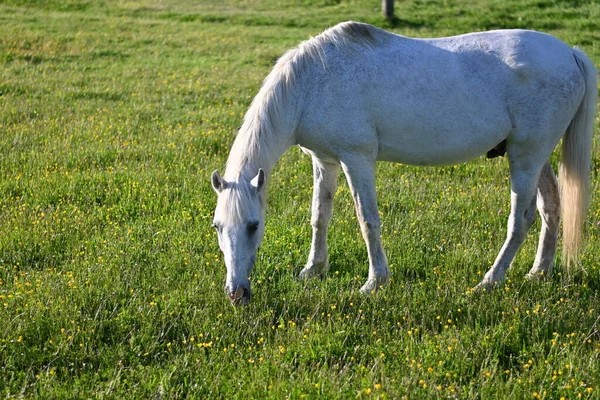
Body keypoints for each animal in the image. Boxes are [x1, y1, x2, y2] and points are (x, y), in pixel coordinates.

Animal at [210, 21, 596, 306]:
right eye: (217, 226)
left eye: (253, 225)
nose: (237, 293)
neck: (313, 82)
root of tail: (571, 53)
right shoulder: (325, 161)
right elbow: (320, 216)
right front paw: (313, 270)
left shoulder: (357, 159)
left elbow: (367, 220)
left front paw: (375, 282)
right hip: (534, 155)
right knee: (550, 208)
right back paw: (538, 272)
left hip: (526, 156)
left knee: (521, 219)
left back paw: (489, 282)